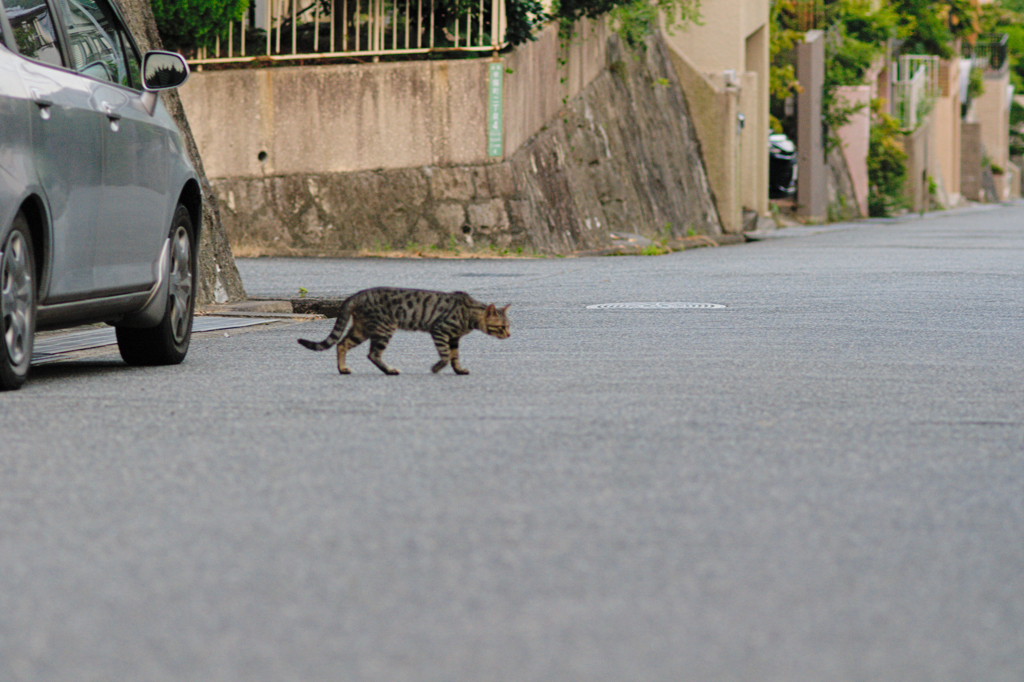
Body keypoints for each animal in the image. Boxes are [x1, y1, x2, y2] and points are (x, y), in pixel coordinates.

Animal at [299, 284, 512, 374]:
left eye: (508, 326)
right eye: (502, 327)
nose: (509, 335)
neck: (469, 314)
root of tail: (358, 294)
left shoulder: (454, 338)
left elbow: (454, 356)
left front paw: (459, 370)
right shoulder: (440, 331)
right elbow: (445, 356)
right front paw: (436, 368)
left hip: (362, 328)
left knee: (342, 344)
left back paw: (342, 369)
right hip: (384, 327)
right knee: (372, 354)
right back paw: (389, 370)